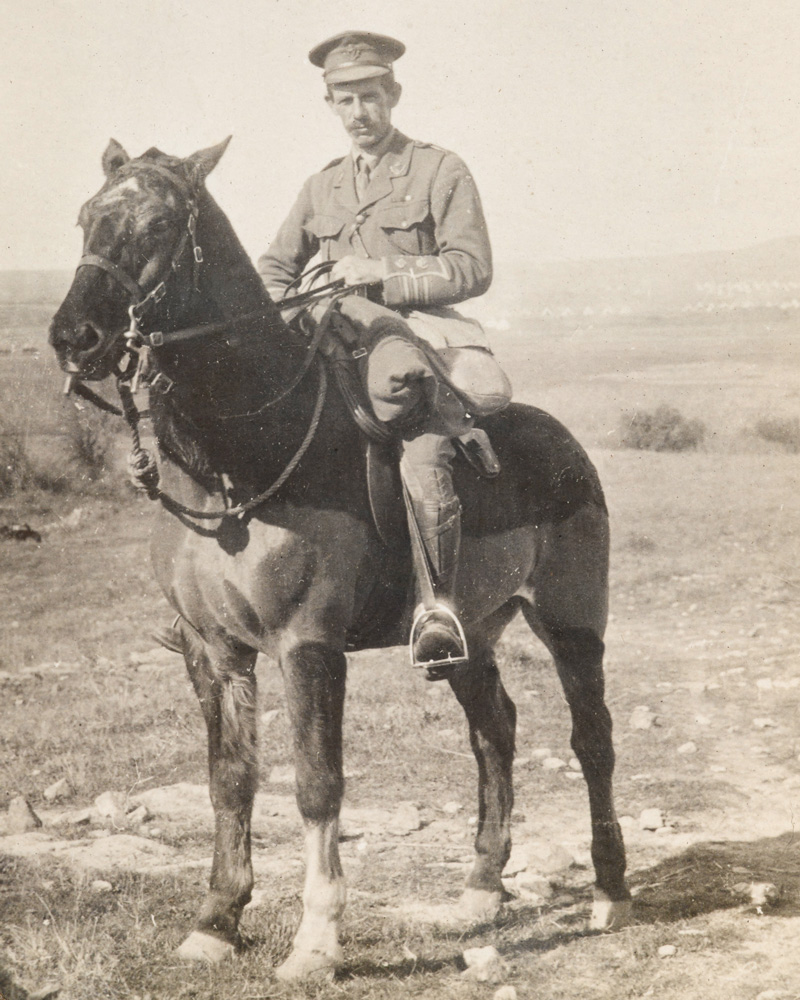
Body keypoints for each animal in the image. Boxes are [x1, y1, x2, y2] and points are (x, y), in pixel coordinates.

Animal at [51, 137, 632, 980]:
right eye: (87, 217)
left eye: (158, 224)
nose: (75, 337)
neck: (241, 459)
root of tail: (563, 443)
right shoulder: (212, 651)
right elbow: (231, 780)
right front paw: (216, 920)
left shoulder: (309, 645)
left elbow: (318, 785)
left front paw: (317, 939)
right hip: (473, 635)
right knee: (494, 730)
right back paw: (482, 889)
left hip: (572, 622)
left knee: (593, 741)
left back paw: (611, 892)